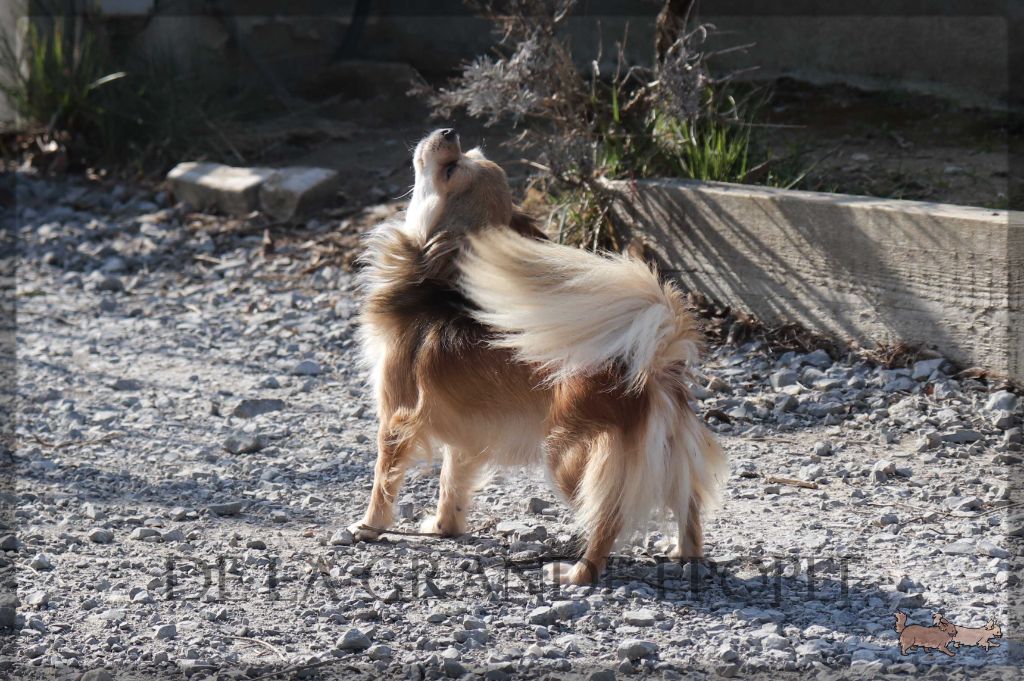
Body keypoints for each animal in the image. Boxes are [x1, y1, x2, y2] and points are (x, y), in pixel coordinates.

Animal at [348, 129, 724, 585]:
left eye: (452, 168)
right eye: (467, 155)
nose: (450, 132)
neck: (435, 286)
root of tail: (651, 364)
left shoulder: (396, 418)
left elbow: (383, 477)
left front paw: (369, 526)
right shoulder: (466, 437)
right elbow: (452, 481)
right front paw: (444, 527)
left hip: (568, 457)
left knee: (607, 518)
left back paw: (577, 573)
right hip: (666, 453)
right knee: (689, 503)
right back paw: (685, 553)